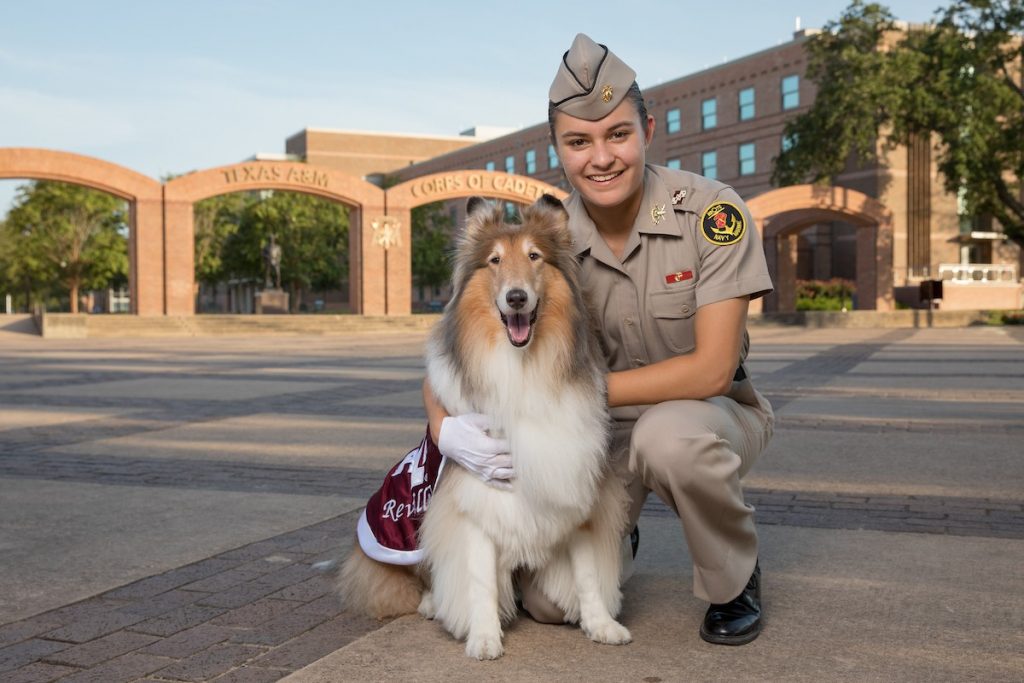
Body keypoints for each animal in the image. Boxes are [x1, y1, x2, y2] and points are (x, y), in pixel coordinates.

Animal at [339, 194, 626, 659]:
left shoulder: (575, 481)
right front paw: (484, 636)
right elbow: (478, 578)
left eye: (534, 256)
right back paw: (433, 603)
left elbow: (586, 573)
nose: (516, 298)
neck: (524, 367)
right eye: (494, 260)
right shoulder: (472, 500)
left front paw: (601, 624)